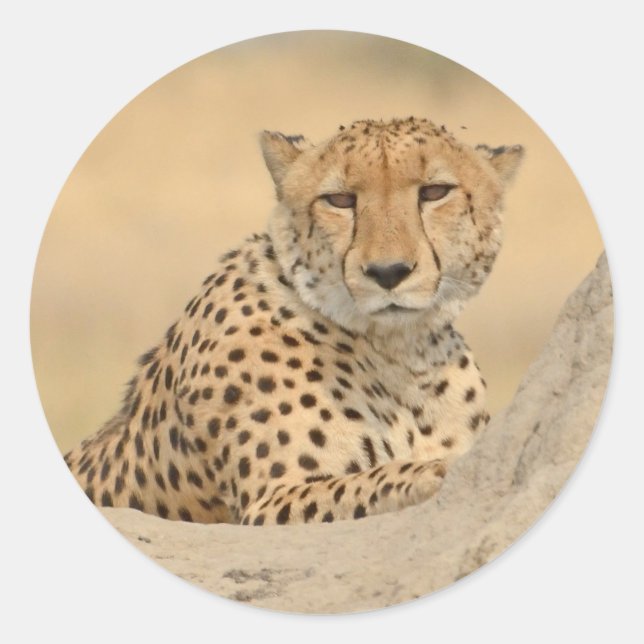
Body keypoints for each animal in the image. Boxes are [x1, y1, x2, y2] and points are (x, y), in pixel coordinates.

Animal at [64, 117, 523, 526]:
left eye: (435, 192)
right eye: (339, 200)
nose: (388, 272)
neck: (400, 353)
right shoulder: (270, 502)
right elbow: (383, 479)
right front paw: (440, 472)